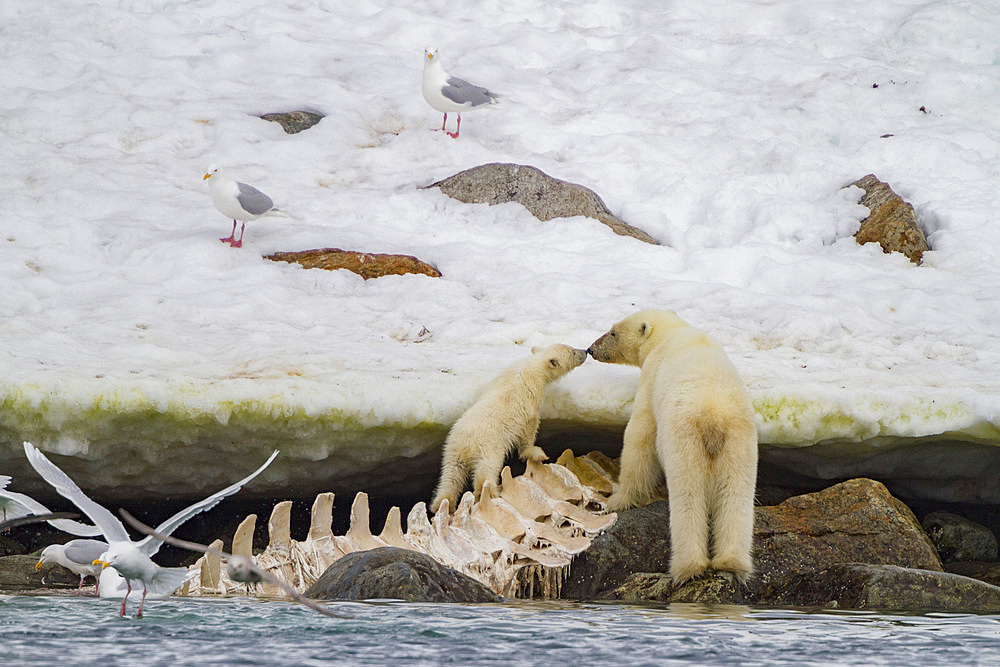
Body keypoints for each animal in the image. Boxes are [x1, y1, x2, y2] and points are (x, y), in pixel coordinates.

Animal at [584, 310, 756, 584]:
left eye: (613, 332)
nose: (591, 349)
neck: (671, 333)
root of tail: (712, 420)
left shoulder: (651, 379)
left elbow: (639, 436)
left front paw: (616, 499)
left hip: (684, 439)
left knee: (688, 495)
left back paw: (687, 567)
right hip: (739, 443)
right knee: (736, 495)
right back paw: (731, 563)